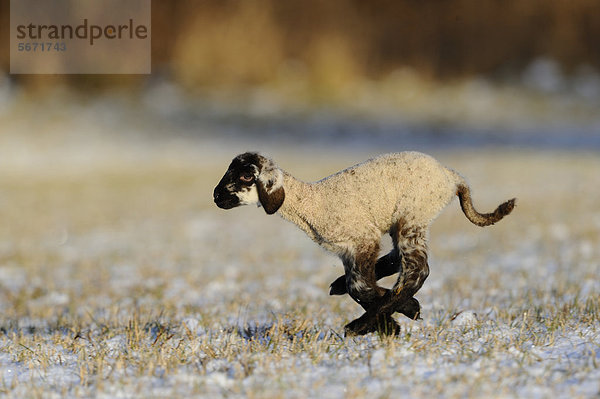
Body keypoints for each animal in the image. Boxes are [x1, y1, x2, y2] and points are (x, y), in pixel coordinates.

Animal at [212, 152, 516, 336]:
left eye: (246, 176)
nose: (216, 197)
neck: (312, 204)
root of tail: (452, 177)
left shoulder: (362, 238)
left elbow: (359, 287)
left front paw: (394, 321)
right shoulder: (348, 251)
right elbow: (358, 286)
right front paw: (398, 317)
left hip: (412, 216)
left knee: (418, 270)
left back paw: (361, 324)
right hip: (403, 222)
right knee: (398, 261)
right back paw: (343, 290)